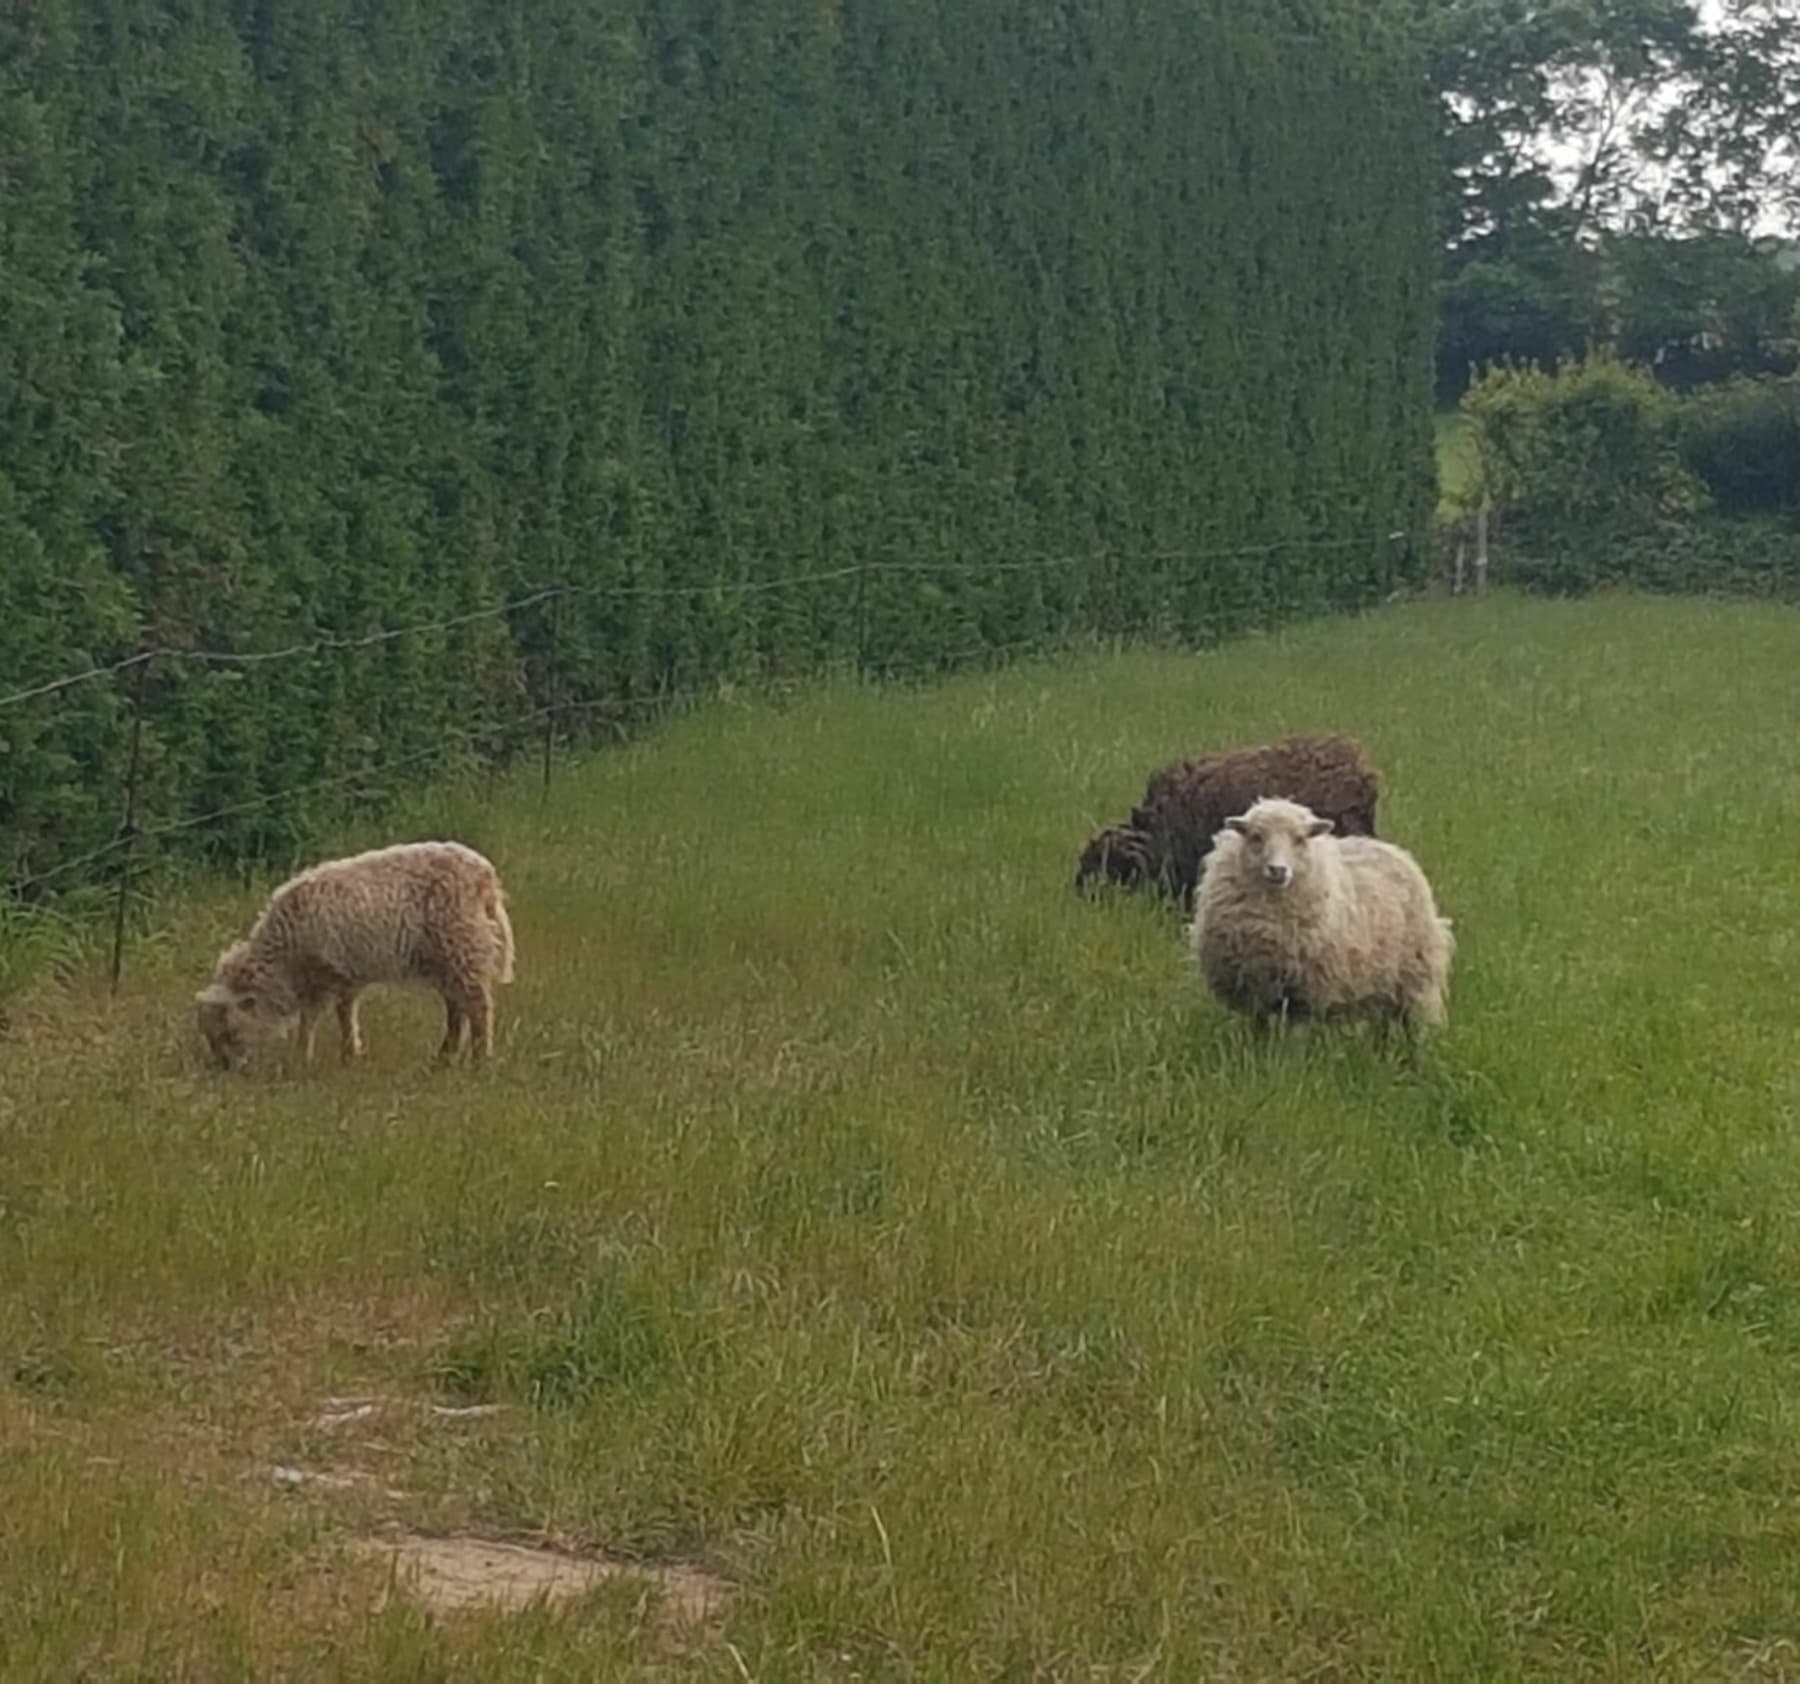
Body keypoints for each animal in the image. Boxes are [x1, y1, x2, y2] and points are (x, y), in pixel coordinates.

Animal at [195, 838, 514, 1072]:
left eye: (230, 1033)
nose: (226, 1069)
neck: (284, 956)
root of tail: (484, 874)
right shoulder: (345, 974)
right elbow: (345, 1013)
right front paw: (349, 1054)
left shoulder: (322, 976)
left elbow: (310, 1018)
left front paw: (302, 1058)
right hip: (446, 958)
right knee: (456, 1007)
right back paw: (445, 1057)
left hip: (462, 946)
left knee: (478, 1006)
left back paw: (479, 1059)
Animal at [1188, 798, 1454, 1036]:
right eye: (1256, 837)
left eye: (1299, 839)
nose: (1278, 870)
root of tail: (1393, 850)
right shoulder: (1253, 989)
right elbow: (1259, 1030)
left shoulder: (1306, 993)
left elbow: (1296, 1036)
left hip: (1417, 977)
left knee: (1413, 1029)